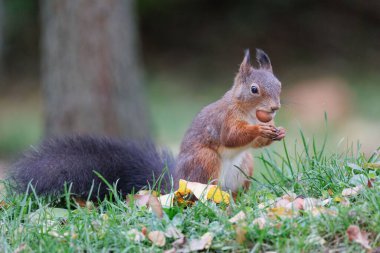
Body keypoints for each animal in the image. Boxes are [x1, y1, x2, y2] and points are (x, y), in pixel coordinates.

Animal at [9, 49, 284, 200]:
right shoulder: (223, 120)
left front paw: (277, 132)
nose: (275, 108)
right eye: (254, 89)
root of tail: (175, 184)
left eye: (279, 84)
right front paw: (259, 130)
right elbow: (232, 136)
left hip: (244, 166)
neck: (248, 112)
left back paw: (237, 199)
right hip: (205, 162)